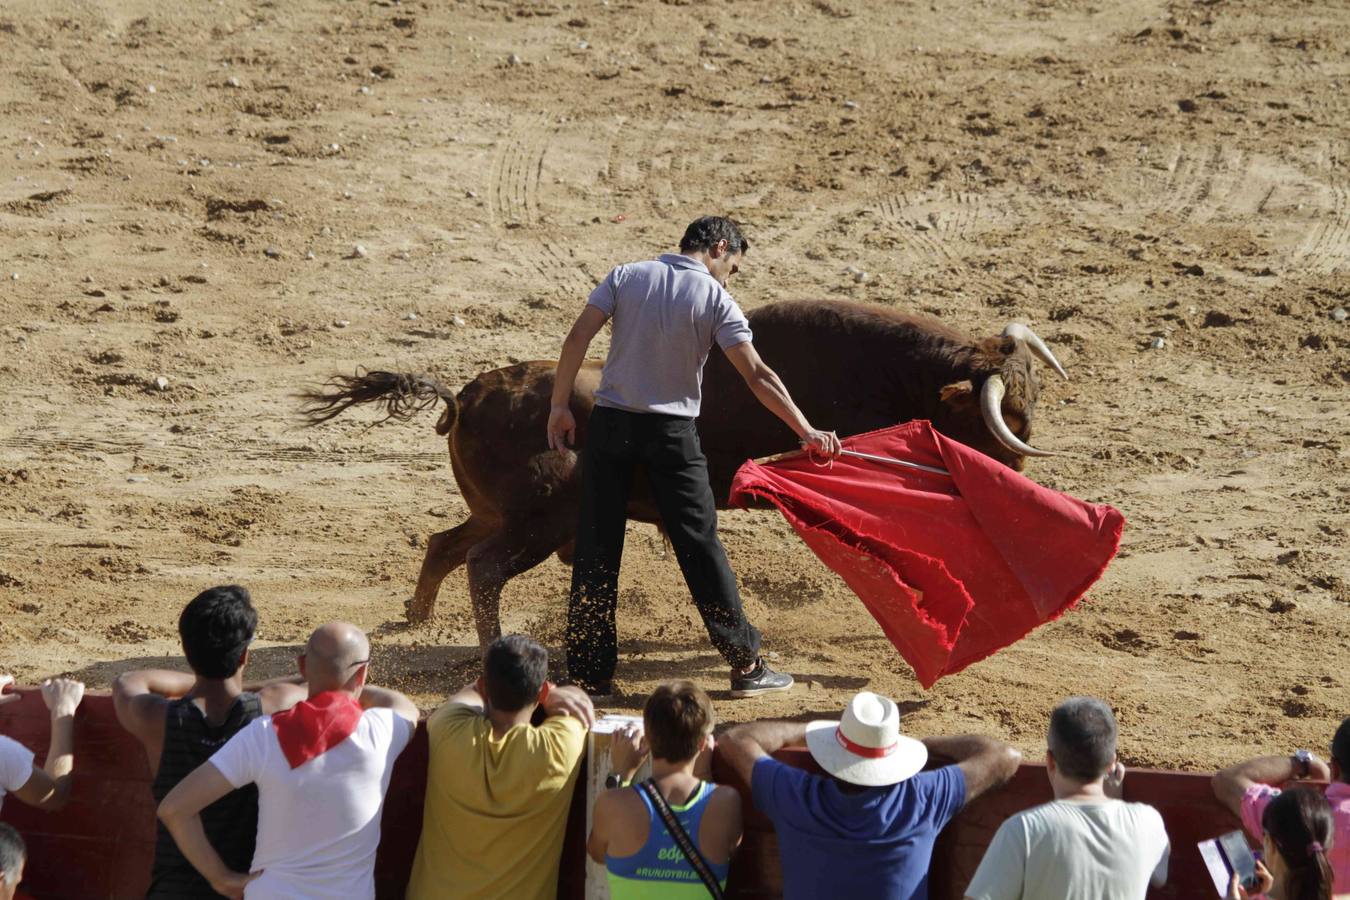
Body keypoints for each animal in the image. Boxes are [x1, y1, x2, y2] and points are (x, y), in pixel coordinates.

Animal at [298, 299, 1063, 644]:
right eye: (1006, 421)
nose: (1019, 483)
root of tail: (464, 395)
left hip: (504, 513)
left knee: (445, 546)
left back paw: (416, 618)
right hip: (538, 521)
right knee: (482, 566)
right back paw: (496, 648)